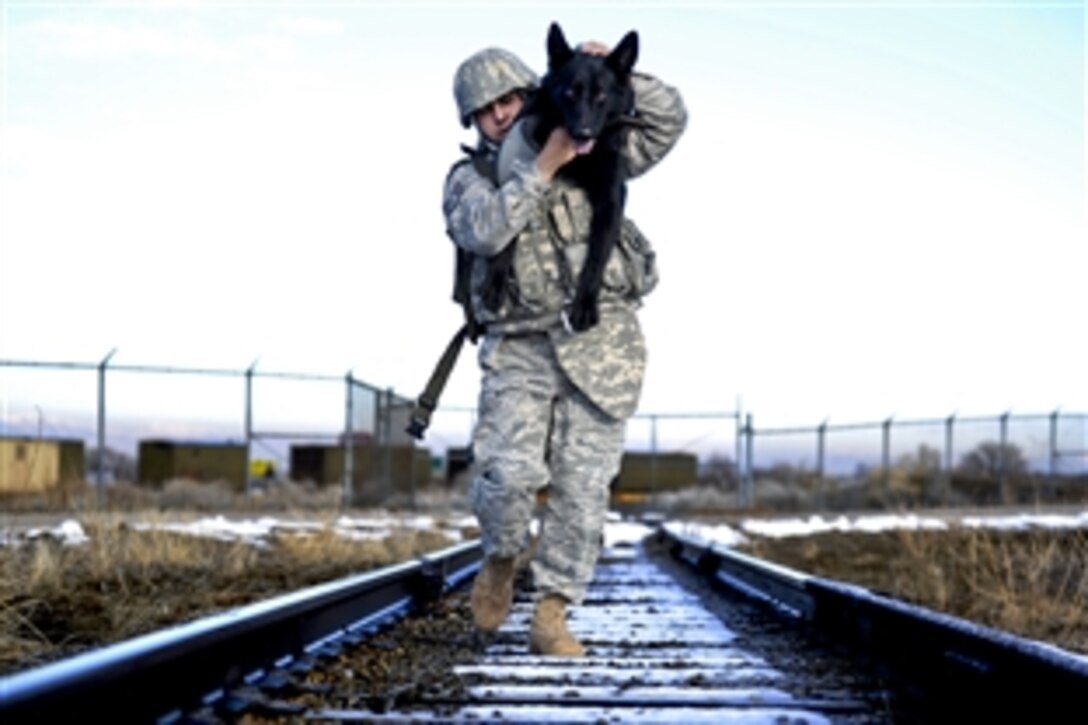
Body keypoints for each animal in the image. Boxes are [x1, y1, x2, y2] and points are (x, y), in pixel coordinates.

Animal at [483, 21, 635, 333]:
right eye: (570, 93)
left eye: (602, 96)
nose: (583, 133)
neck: (577, 159)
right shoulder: (511, 181)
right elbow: (506, 231)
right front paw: (495, 280)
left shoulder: (611, 200)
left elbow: (597, 254)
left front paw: (584, 305)